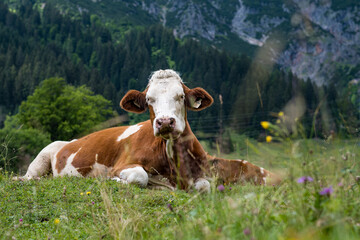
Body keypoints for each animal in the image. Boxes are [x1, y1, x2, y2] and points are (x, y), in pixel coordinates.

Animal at [14, 69, 280, 191]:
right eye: (149, 99)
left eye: (180, 96)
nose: (164, 122)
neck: (173, 161)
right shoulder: (123, 164)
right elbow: (139, 177)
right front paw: (112, 180)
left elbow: (204, 185)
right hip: (45, 152)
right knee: (30, 176)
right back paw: (21, 178)